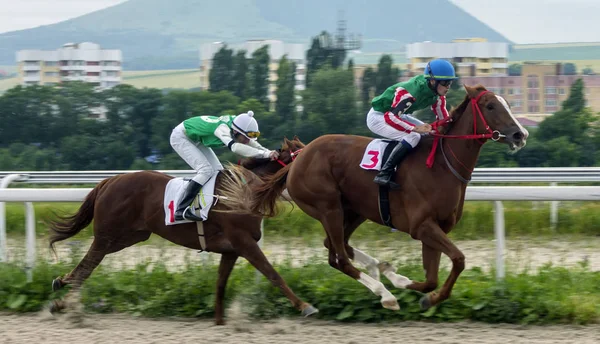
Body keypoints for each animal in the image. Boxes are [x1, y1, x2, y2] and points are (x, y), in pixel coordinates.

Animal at [45, 136, 318, 324]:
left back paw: (61, 282)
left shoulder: (231, 250)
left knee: (88, 264)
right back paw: (64, 302)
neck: (242, 192)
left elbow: (221, 284)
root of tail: (109, 181)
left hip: (129, 236)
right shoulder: (244, 242)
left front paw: (219, 321)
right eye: (302, 153)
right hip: (107, 235)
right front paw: (305, 306)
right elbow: (273, 274)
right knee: (88, 266)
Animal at [216, 85, 528, 312]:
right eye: (490, 106)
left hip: (355, 211)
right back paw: (384, 293)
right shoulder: (422, 227)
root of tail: (299, 158)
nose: (520, 134)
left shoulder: (436, 228)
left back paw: (383, 271)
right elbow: (459, 260)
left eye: (507, 103)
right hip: (328, 207)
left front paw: (419, 292)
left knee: (335, 246)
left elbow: (431, 279)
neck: (441, 165)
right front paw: (405, 289)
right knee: (339, 258)